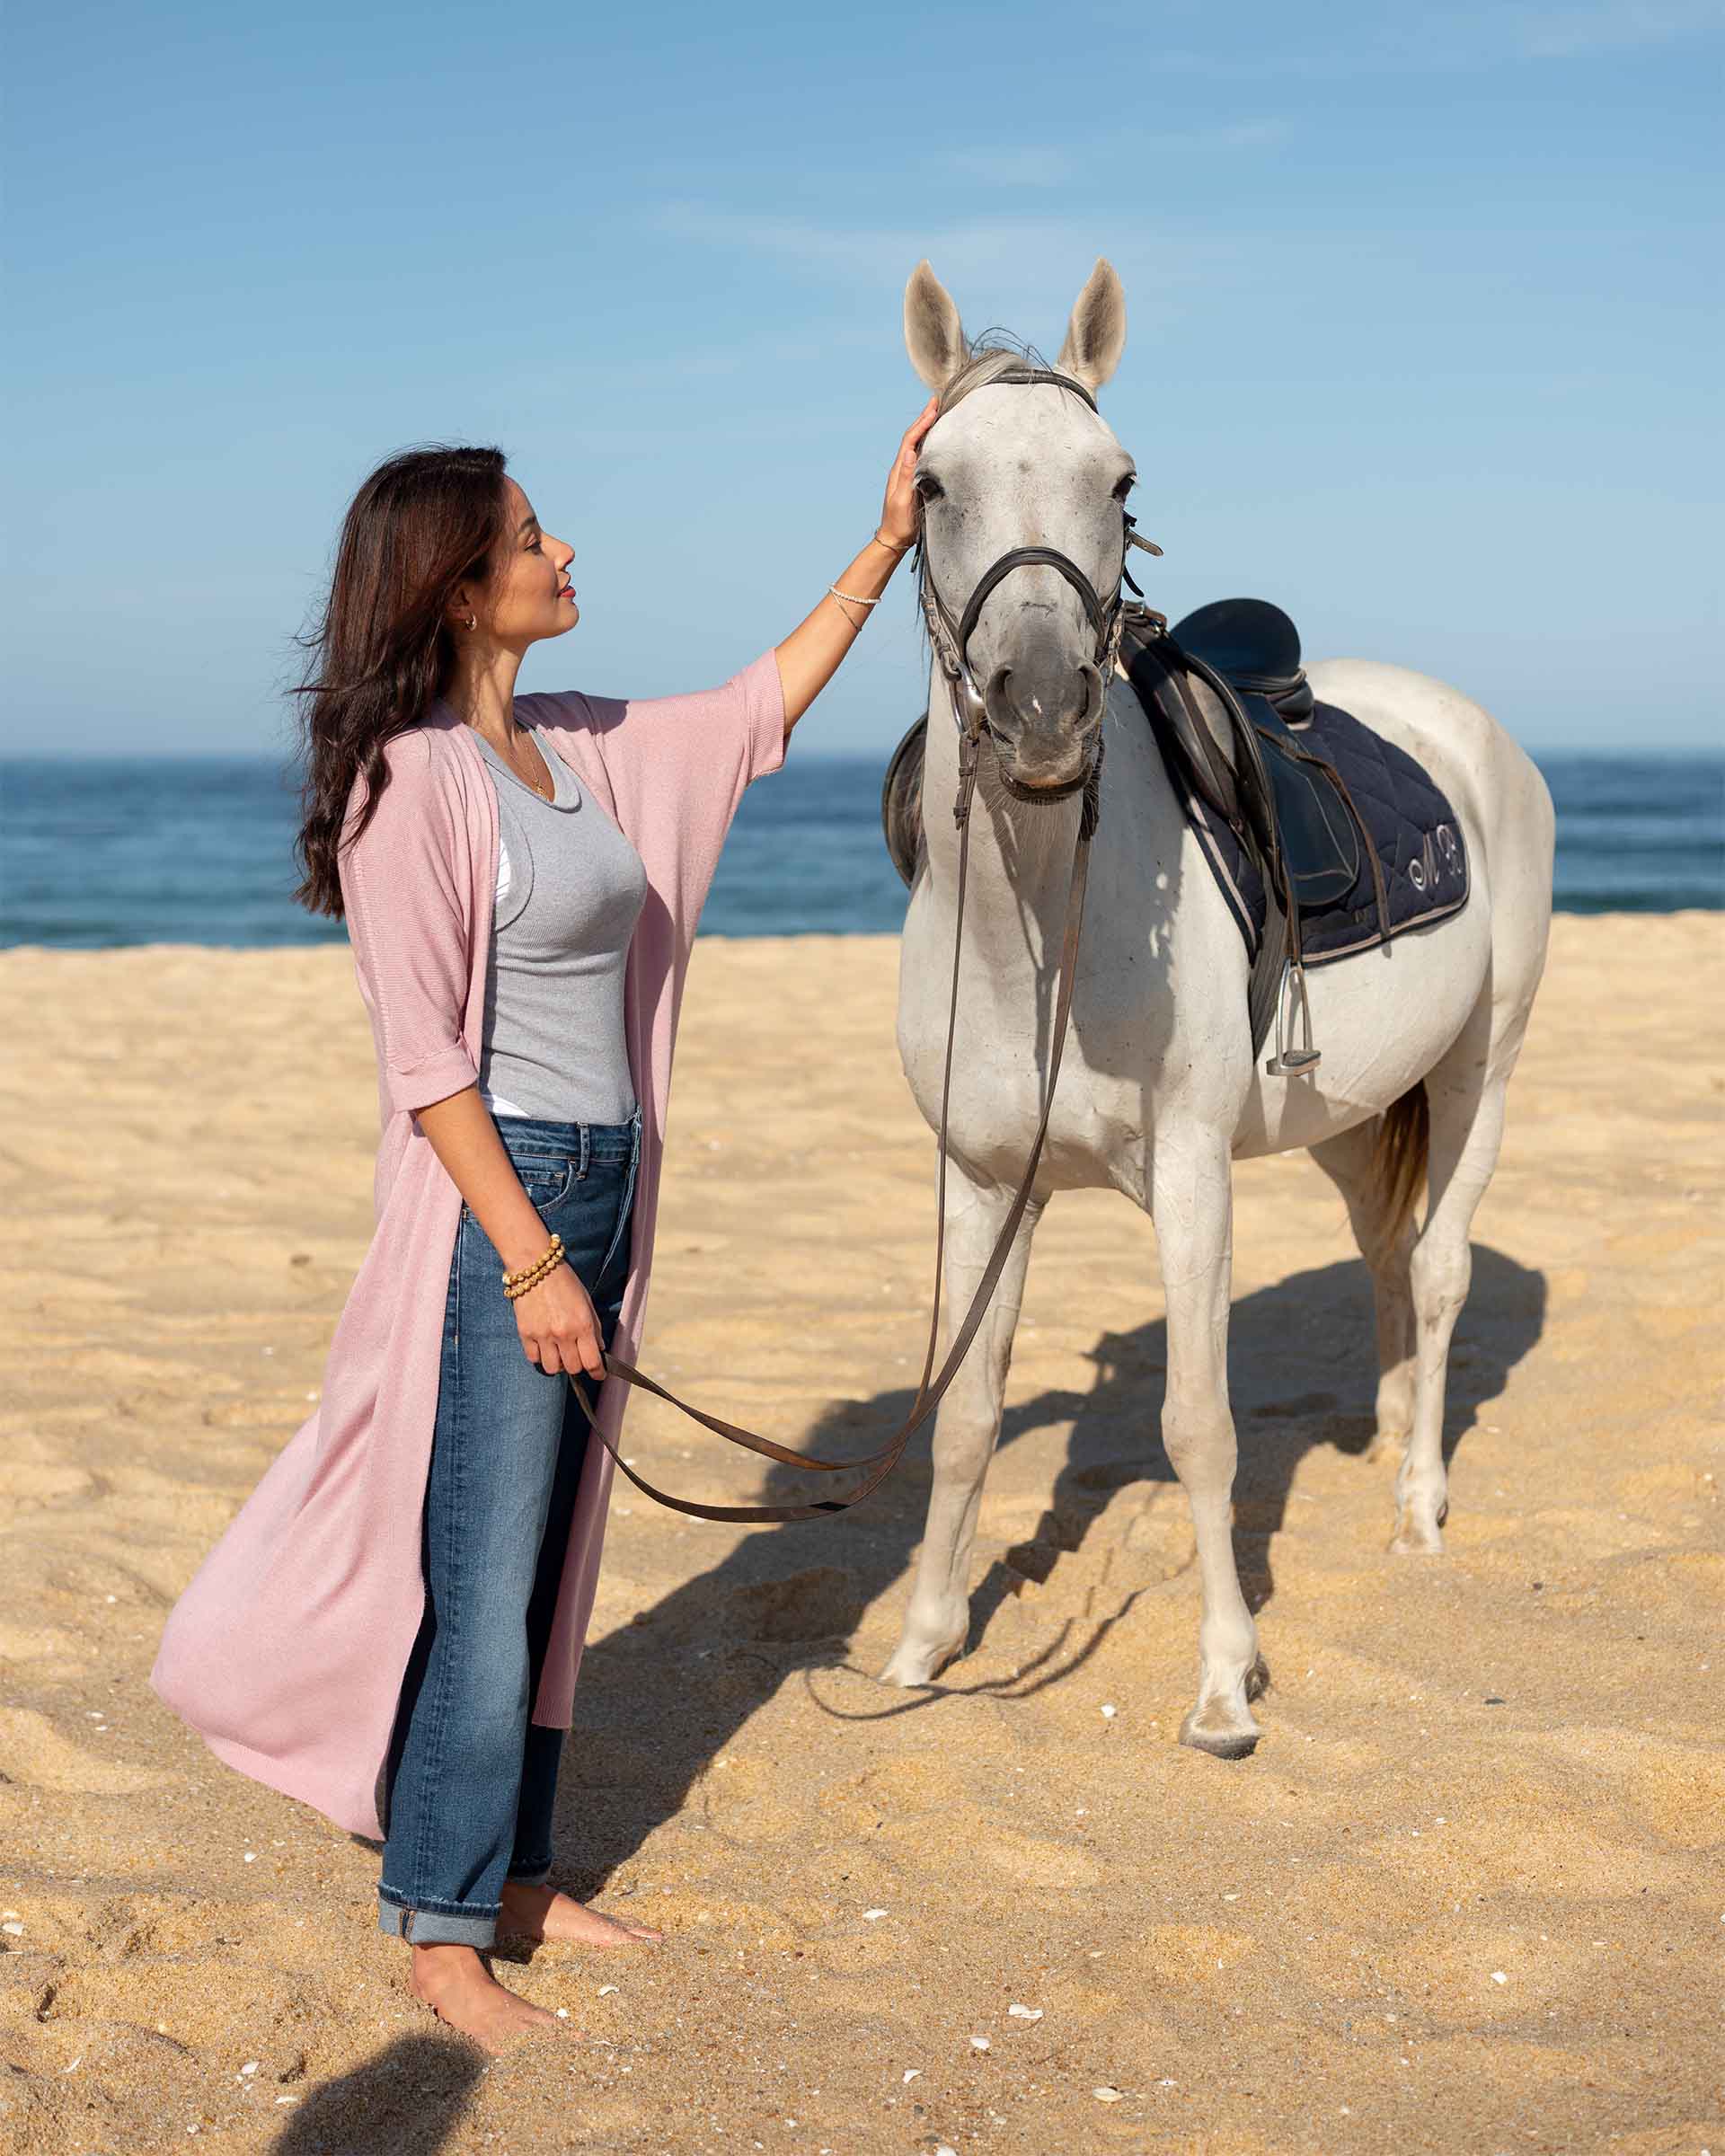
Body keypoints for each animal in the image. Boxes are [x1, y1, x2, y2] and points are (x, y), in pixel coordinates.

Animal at [884, 261, 1552, 1759]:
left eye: (1121, 480)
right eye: (935, 483)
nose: (1041, 713)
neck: (1043, 933)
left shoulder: (1192, 1179)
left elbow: (1200, 1424)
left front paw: (1225, 1684)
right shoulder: (975, 1182)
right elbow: (963, 1414)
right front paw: (921, 1646)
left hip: (1481, 1069)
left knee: (1440, 1267)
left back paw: (1419, 1509)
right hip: (1351, 1117)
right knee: (1387, 1256)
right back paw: (1385, 1450)